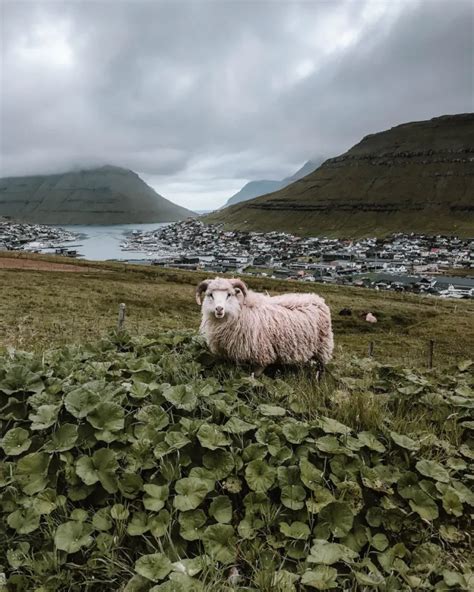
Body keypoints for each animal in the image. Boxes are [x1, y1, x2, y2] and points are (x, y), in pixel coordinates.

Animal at [195, 276, 334, 376]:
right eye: (210, 295)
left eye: (229, 295)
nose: (219, 309)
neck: (241, 311)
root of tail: (318, 299)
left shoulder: (262, 353)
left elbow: (255, 375)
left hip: (323, 347)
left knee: (321, 367)